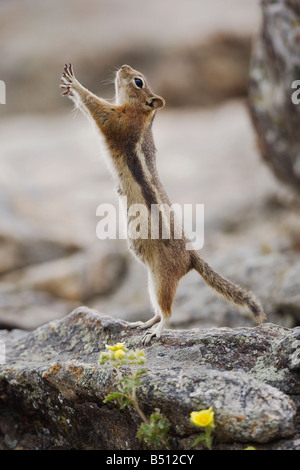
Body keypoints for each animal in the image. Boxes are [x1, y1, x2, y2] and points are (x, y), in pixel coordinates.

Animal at [59, 63, 266, 346]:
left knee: (167, 311)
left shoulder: (115, 120)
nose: (123, 66)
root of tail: (191, 255)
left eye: (138, 81)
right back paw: (143, 323)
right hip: (151, 279)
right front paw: (69, 88)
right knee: (158, 309)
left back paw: (155, 331)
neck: (142, 113)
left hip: (162, 277)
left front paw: (75, 83)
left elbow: (93, 104)